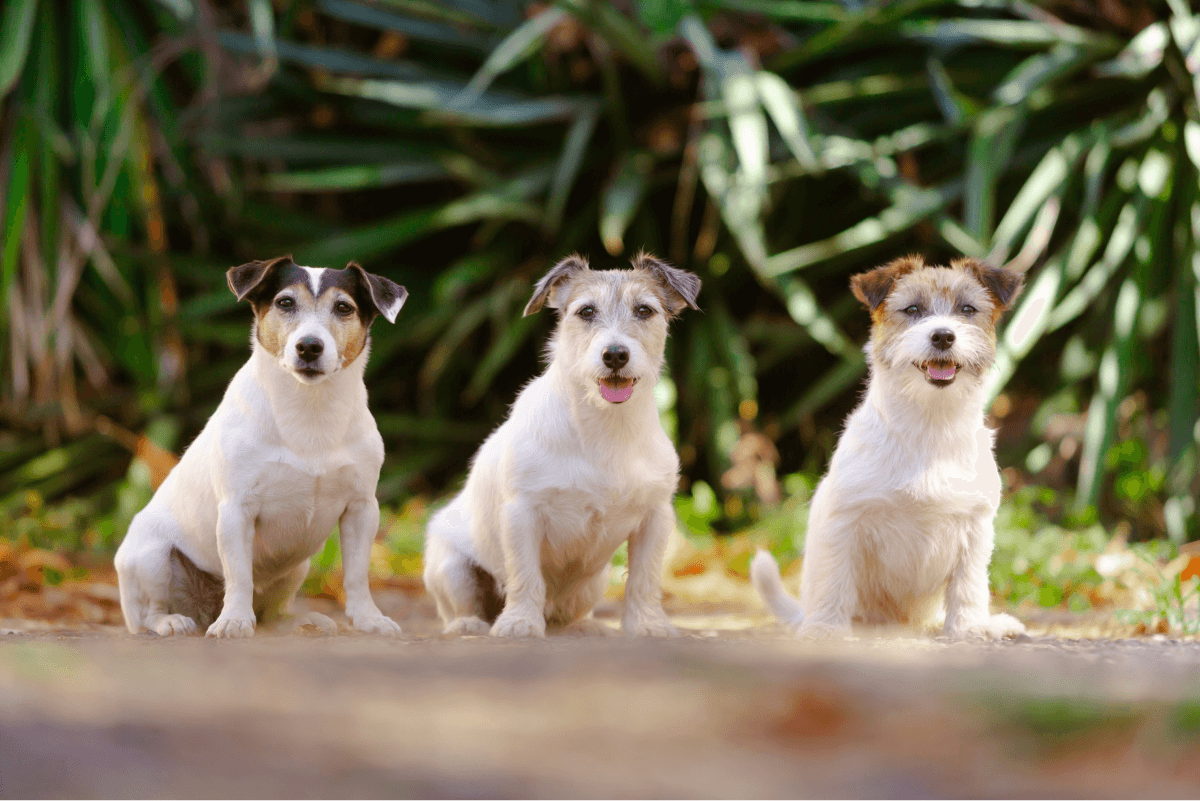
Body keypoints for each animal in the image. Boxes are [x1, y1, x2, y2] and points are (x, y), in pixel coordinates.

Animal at [117, 256, 408, 637]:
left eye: (344, 307)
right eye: (285, 302)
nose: (309, 346)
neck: (309, 411)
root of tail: (204, 608)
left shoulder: (362, 509)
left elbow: (358, 575)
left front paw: (368, 619)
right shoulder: (236, 511)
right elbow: (239, 575)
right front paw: (235, 621)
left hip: (297, 567)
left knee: (273, 614)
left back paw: (298, 621)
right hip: (152, 557)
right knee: (150, 612)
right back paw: (174, 621)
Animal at [424, 251, 700, 637]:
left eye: (644, 310)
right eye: (586, 311)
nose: (615, 355)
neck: (604, 428)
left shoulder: (654, 518)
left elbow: (644, 580)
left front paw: (647, 624)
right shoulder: (522, 514)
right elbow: (525, 576)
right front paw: (520, 622)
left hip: (592, 584)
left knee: (566, 614)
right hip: (452, 567)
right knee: (462, 606)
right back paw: (469, 624)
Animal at [748, 260, 1022, 642]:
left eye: (967, 310)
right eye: (913, 310)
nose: (943, 336)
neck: (928, 425)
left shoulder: (974, 528)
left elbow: (968, 587)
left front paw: (967, 629)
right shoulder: (846, 522)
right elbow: (835, 582)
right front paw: (826, 630)